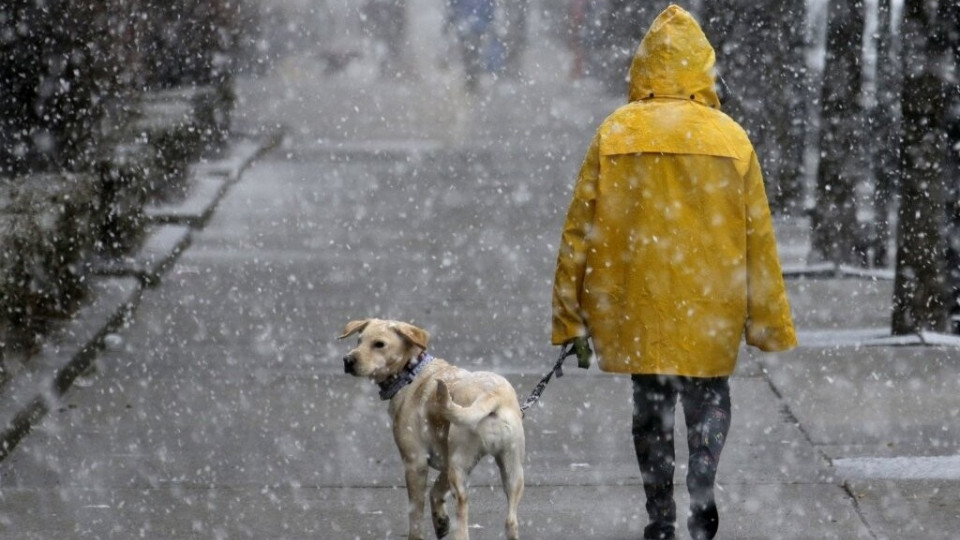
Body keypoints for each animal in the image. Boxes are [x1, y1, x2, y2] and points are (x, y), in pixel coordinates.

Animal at [340, 318, 524, 536]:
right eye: (358, 341)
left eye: (379, 344)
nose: (347, 361)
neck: (412, 372)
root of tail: (491, 395)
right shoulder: (445, 463)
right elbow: (435, 491)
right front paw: (440, 521)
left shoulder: (415, 463)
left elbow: (416, 514)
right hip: (512, 471)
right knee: (510, 521)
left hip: (459, 467)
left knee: (463, 509)